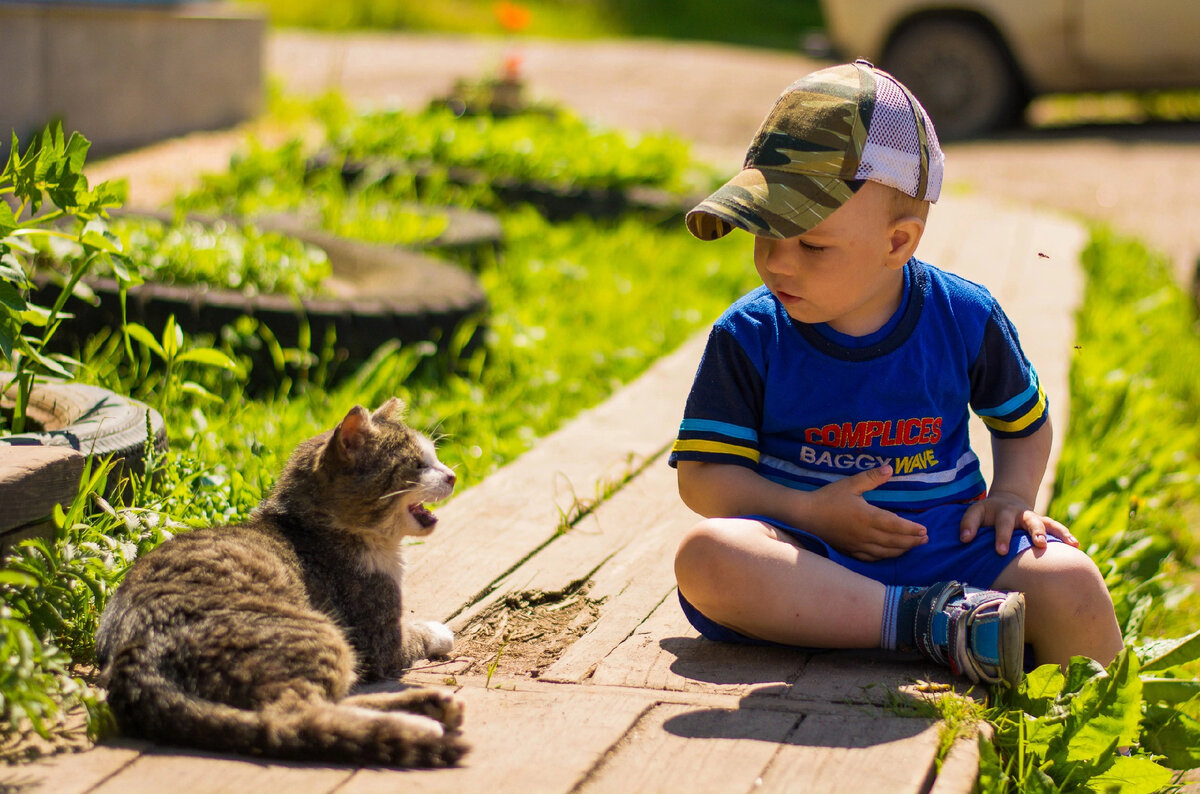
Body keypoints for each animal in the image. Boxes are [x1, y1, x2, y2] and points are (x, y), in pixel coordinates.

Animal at [94, 400, 468, 767]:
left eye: (436, 458)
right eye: (418, 465)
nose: (452, 475)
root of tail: (135, 658)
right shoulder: (378, 638)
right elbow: (415, 634)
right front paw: (438, 631)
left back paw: (431, 707)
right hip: (325, 637)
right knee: (296, 717)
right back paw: (420, 722)